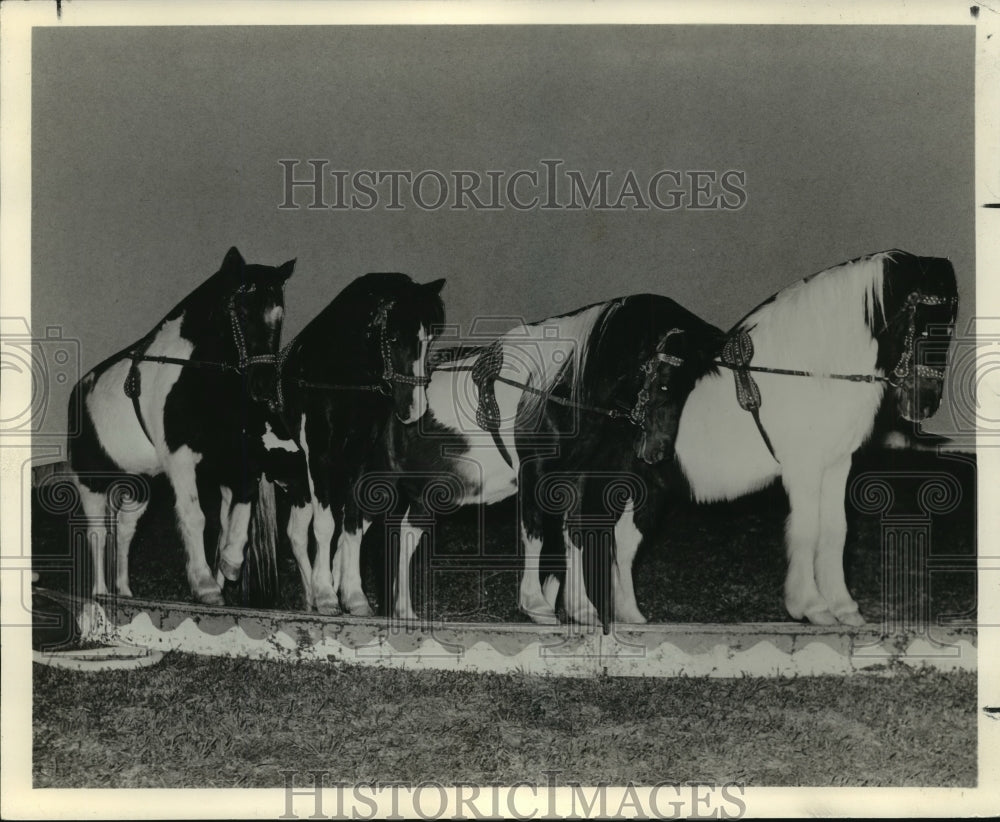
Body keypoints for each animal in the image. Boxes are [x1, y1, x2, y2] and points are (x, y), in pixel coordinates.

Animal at [65, 246, 292, 604]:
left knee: (126, 531)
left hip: (139, 487)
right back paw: (100, 594)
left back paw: (125, 591)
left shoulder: (236, 459)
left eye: (278, 315)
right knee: (98, 533)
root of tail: (80, 389)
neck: (199, 378)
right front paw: (205, 585)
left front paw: (229, 565)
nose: (264, 386)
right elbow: (195, 516)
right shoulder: (180, 458)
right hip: (92, 482)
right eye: (242, 310)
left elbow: (240, 512)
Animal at [254, 274, 446, 616]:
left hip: (298, 484)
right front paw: (328, 596)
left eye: (430, 338)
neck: (336, 378)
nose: (414, 409)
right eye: (393, 338)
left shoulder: (358, 459)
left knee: (295, 534)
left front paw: (354, 597)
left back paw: (308, 598)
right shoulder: (319, 458)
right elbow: (326, 526)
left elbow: (351, 526)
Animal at [340, 296, 724, 632]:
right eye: (663, 383)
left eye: (688, 387)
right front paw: (536, 605)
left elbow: (574, 535)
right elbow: (535, 533)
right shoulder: (533, 473)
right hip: (379, 478)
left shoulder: (575, 477)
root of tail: (383, 389)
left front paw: (582, 609)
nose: (657, 452)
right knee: (354, 523)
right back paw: (355, 600)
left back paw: (404, 611)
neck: (558, 394)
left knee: (403, 535)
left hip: (429, 491)